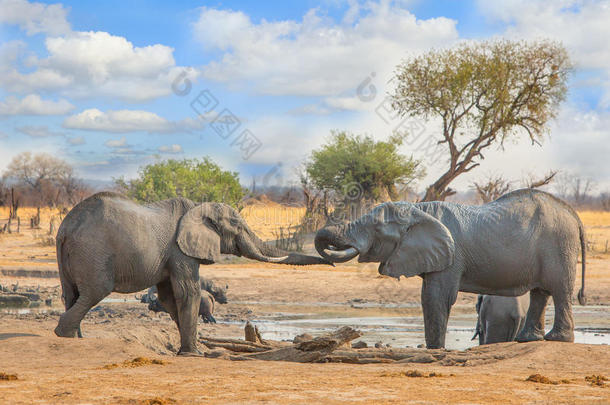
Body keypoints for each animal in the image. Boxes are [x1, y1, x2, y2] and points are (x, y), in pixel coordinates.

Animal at [54, 192, 330, 354]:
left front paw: (187, 351)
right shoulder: (180, 250)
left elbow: (169, 297)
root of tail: (67, 227)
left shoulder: (170, 256)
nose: (332, 262)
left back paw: (75, 338)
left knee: (71, 294)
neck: (199, 208)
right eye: (237, 226)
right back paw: (63, 335)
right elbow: (188, 292)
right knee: (94, 292)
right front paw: (193, 354)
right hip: (93, 252)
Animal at [314, 188, 584, 348]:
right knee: (541, 293)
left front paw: (436, 350)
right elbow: (431, 297)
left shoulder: (451, 256)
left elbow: (435, 297)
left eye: (376, 229)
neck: (419, 209)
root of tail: (572, 212)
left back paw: (558, 339)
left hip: (560, 244)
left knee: (559, 291)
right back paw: (527, 339)